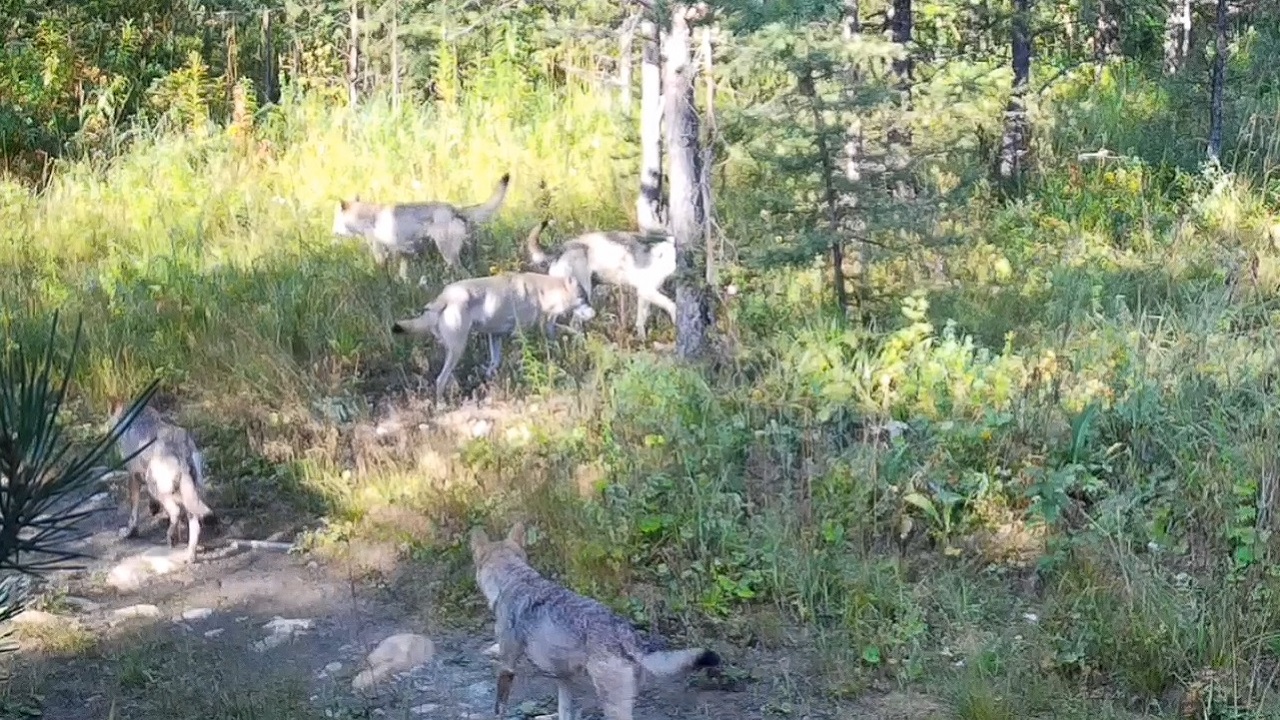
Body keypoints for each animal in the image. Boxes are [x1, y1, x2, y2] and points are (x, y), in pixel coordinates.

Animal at [107, 397, 212, 561]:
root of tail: (181, 447)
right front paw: (154, 508)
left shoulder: (133, 476)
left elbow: (133, 513)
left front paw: (130, 533)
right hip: (189, 494)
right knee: (194, 524)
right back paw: (189, 555)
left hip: (154, 484)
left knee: (175, 512)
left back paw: (171, 538)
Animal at [332, 170, 512, 280]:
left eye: (335, 220)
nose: (332, 232)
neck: (367, 217)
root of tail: (454, 209)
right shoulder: (404, 253)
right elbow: (402, 275)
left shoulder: (381, 252)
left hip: (447, 252)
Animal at [389, 248, 593, 404]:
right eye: (584, 299)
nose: (595, 313)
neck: (544, 291)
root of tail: (443, 298)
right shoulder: (525, 332)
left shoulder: (496, 337)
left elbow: (494, 364)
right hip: (458, 349)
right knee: (440, 380)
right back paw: (441, 406)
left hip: (453, 350)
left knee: (445, 378)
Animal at [471, 520, 721, 717]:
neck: (514, 580)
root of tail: (623, 631)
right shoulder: (563, 677)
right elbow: (565, 711)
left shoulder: (507, 665)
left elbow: (499, 707)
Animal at [524, 219, 680, 338]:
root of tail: (560, 248)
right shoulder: (647, 290)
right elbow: (672, 305)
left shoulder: (643, 293)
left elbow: (641, 319)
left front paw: (642, 339)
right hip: (583, 292)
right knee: (573, 322)